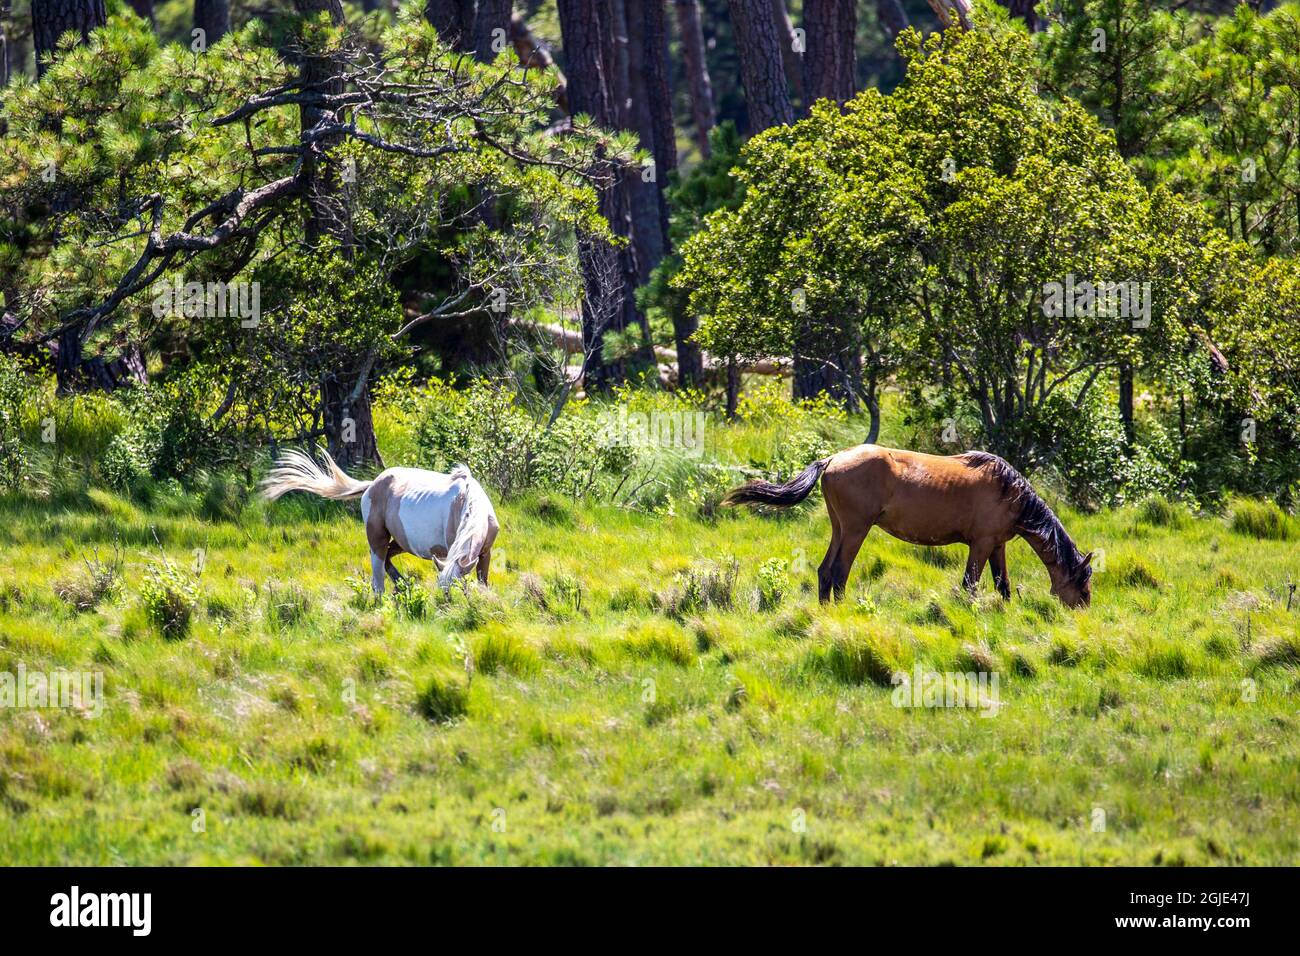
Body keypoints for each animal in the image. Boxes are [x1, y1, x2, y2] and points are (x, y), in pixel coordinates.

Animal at [261, 450, 499, 594]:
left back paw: (403, 585)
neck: (466, 501)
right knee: (378, 578)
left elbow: (483, 581)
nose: (444, 608)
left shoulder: (484, 554)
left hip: (400, 543)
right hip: (377, 539)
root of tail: (372, 485)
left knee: (387, 560)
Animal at [723, 445, 1093, 608]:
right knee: (840, 570)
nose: (1084, 608)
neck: (1009, 491)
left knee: (826, 570)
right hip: (856, 529)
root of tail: (832, 459)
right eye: (1083, 580)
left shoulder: (997, 545)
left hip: (839, 527)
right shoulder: (981, 543)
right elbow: (970, 583)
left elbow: (1002, 584)